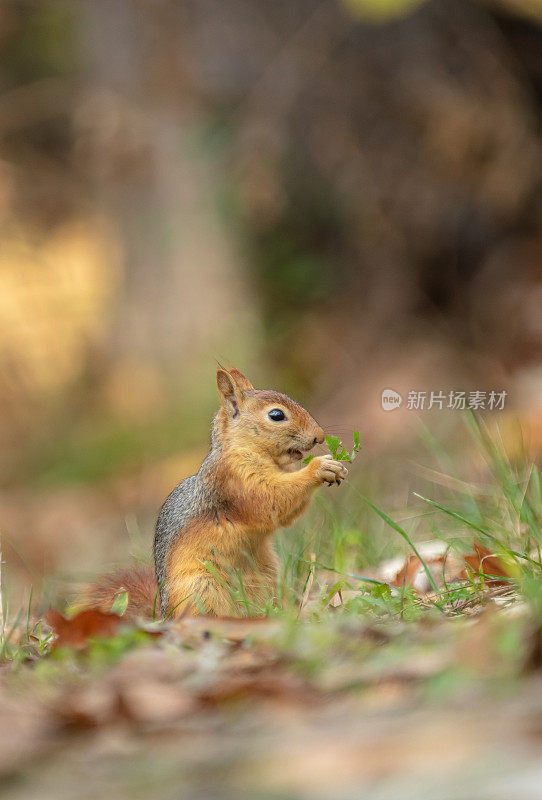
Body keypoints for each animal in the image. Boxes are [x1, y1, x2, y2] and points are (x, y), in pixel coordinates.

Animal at [85, 366, 348, 620]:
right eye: (276, 415)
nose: (319, 436)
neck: (247, 450)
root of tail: (164, 614)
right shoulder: (234, 481)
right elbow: (269, 500)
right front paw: (319, 468)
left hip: (268, 577)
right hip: (202, 586)